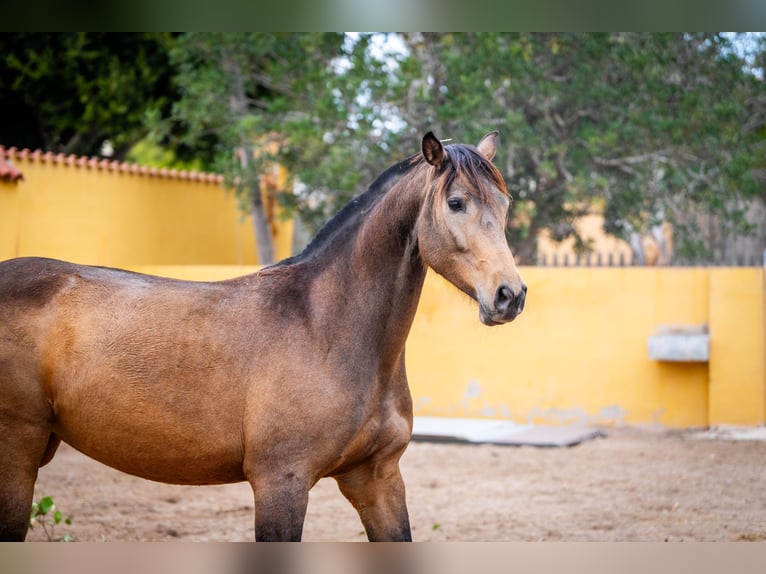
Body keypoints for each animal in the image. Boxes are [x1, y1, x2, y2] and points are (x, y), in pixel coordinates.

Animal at [0, 133, 528, 544]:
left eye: (504, 204)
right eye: (456, 203)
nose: (510, 295)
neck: (326, 328)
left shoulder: (377, 478)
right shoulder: (281, 484)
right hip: (17, 452)